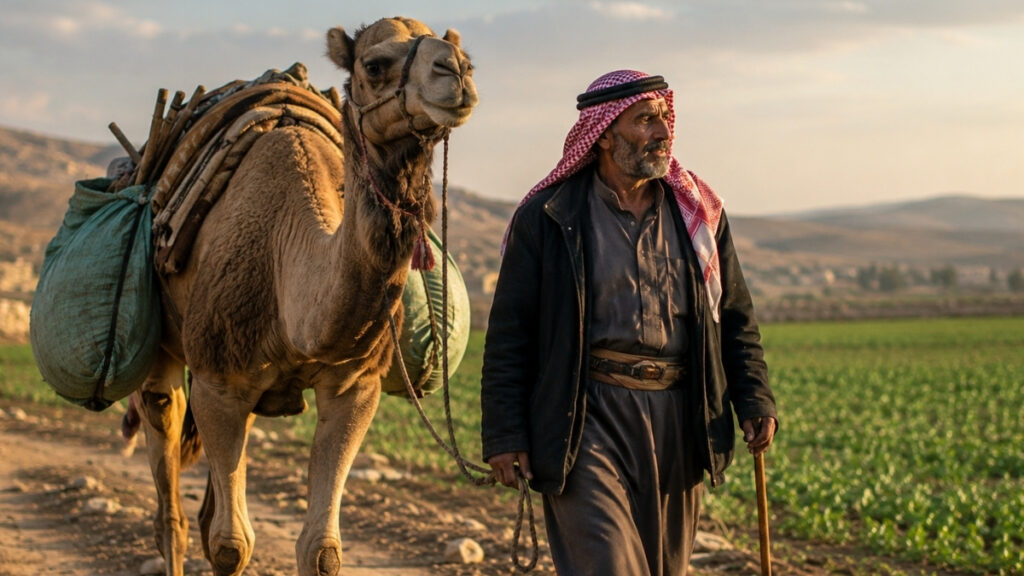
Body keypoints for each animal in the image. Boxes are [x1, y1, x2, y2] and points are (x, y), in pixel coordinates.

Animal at [127, 17, 477, 576]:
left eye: (461, 52)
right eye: (374, 65)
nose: (457, 71)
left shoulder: (354, 385)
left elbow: (321, 550)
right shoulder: (219, 382)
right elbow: (231, 546)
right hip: (168, 354)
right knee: (170, 497)